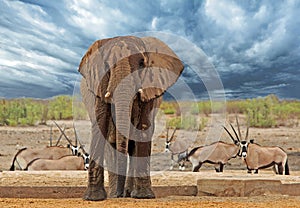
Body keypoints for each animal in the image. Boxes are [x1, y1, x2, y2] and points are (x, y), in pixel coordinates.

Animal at [78, 35, 184, 201]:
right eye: (107, 65)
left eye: (141, 64)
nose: (120, 195)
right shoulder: (98, 87)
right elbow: (100, 125)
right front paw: (94, 198)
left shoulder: (149, 88)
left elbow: (143, 129)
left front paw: (143, 196)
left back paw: (128, 193)